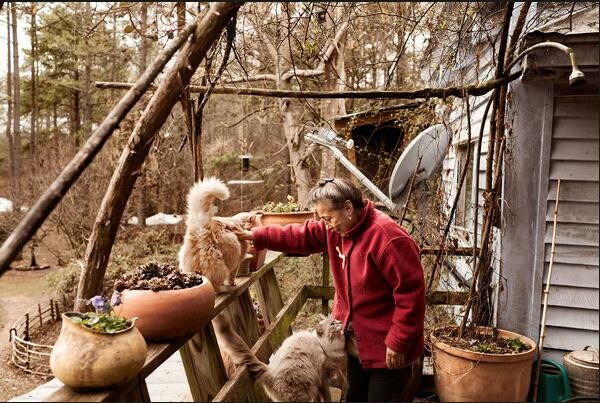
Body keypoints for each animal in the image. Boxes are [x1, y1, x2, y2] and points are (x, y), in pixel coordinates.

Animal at [214, 314, 346, 402]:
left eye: (335, 320)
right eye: (332, 324)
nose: (340, 321)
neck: (322, 345)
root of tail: (269, 372)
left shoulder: (319, 384)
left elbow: (318, 399)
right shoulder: (322, 380)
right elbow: (326, 397)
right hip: (303, 395)